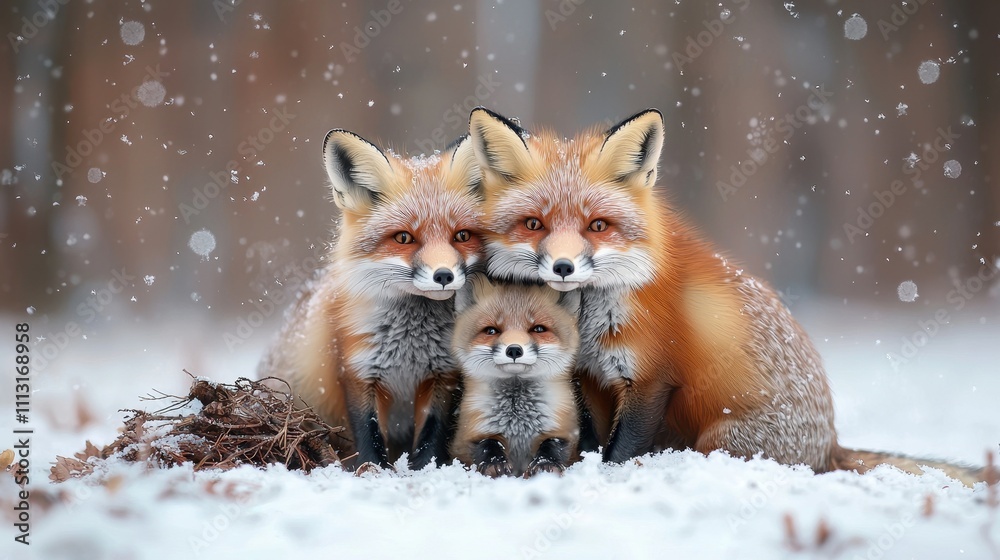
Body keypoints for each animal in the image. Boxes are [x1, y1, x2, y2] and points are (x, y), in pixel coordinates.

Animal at [257, 129, 483, 470]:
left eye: (463, 235)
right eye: (403, 238)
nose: (443, 275)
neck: (411, 345)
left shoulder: (443, 374)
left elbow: (432, 432)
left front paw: (424, 469)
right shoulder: (356, 370)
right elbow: (368, 430)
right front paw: (373, 470)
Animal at [451, 276, 581, 477]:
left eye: (538, 329)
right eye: (491, 330)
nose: (513, 350)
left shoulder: (564, 429)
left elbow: (552, 446)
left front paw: (545, 464)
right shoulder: (469, 434)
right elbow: (487, 444)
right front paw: (495, 463)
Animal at [467, 106, 995, 485]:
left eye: (598, 226)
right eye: (534, 224)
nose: (563, 267)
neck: (595, 314)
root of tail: (831, 445)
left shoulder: (651, 376)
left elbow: (619, 450)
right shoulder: (592, 377)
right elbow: (595, 440)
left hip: (720, 438)